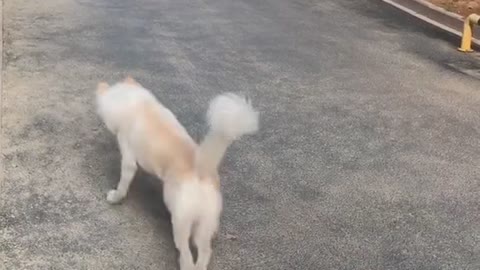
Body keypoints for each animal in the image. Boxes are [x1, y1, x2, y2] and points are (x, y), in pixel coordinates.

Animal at [94, 76, 258, 270]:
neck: (137, 104)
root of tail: (201, 169)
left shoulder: (127, 154)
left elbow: (124, 181)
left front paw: (116, 196)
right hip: (205, 223)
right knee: (204, 251)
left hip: (181, 221)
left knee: (186, 253)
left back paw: (185, 263)